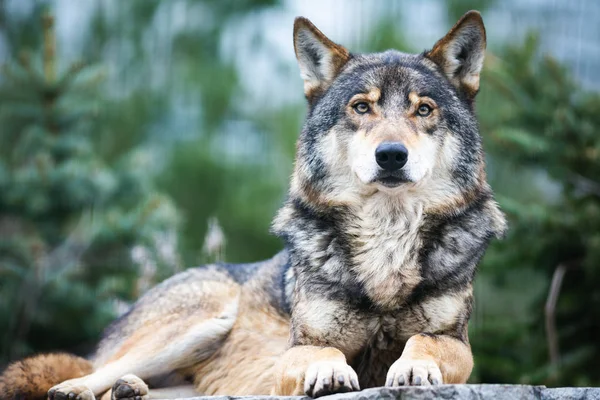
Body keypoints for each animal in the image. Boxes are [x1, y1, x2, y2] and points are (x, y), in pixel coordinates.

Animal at [0, 9, 506, 400]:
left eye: (423, 110)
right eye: (362, 107)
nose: (391, 155)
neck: (387, 239)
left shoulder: (458, 343)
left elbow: (425, 340)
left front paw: (414, 365)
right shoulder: (294, 349)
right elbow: (322, 351)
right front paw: (329, 370)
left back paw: (129, 390)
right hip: (200, 321)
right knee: (91, 371)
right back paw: (79, 388)